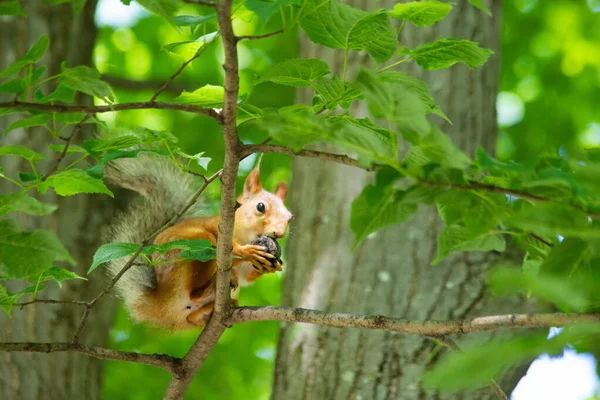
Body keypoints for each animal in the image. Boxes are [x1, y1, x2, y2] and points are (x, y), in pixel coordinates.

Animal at [104, 156, 292, 332]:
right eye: (260, 207)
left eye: (290, 218)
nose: (279, 233)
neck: (247, 235)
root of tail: (162, 300)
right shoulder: (218, 226)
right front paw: (247, 252)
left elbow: (246, 275)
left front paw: (270, 266)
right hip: (192, 250)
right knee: (195, 291)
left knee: (192, 316)